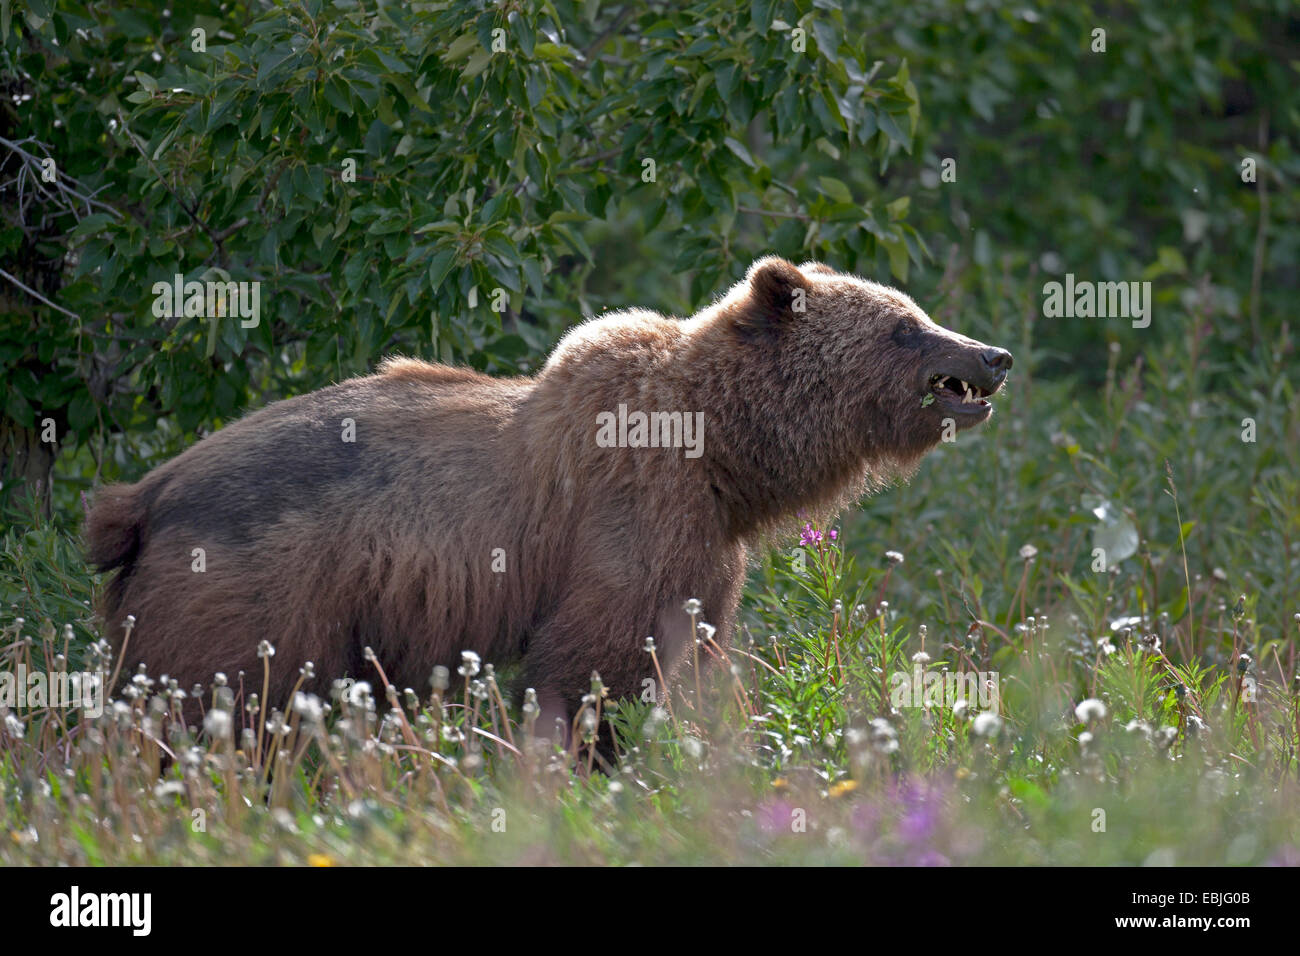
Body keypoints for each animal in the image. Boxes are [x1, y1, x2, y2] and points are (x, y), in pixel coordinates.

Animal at [86, 260, 1008, 738]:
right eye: (902, 325)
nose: (992, 354)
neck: (723, 451)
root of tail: (142, 495)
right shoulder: (634, 513)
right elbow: (604, 655)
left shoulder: (707, 546)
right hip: (250, 587)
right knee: (210, 702)